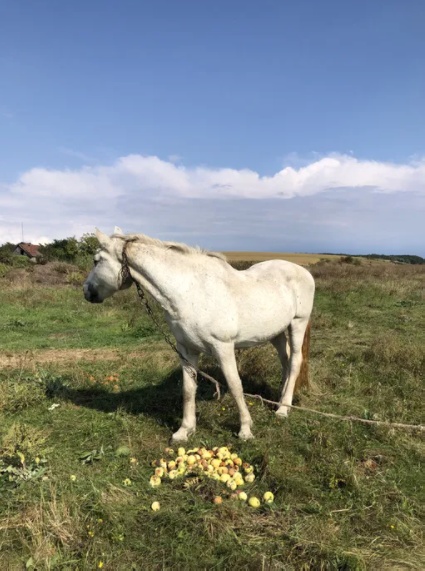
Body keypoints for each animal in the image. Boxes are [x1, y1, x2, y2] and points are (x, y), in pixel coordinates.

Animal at [83, 228, 314, 442]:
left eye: (96, 261)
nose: (87, 291)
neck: (189, 291)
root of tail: (304, 272)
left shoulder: (223, 347)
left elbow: (235, 385)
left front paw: (245, 430)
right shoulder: (187, 349)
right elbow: (188, 389)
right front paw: (184, 431)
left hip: (298, 323)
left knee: (295, 361)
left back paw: (283, 410)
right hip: (276, 333)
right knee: (285, 361)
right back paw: (281, 400)